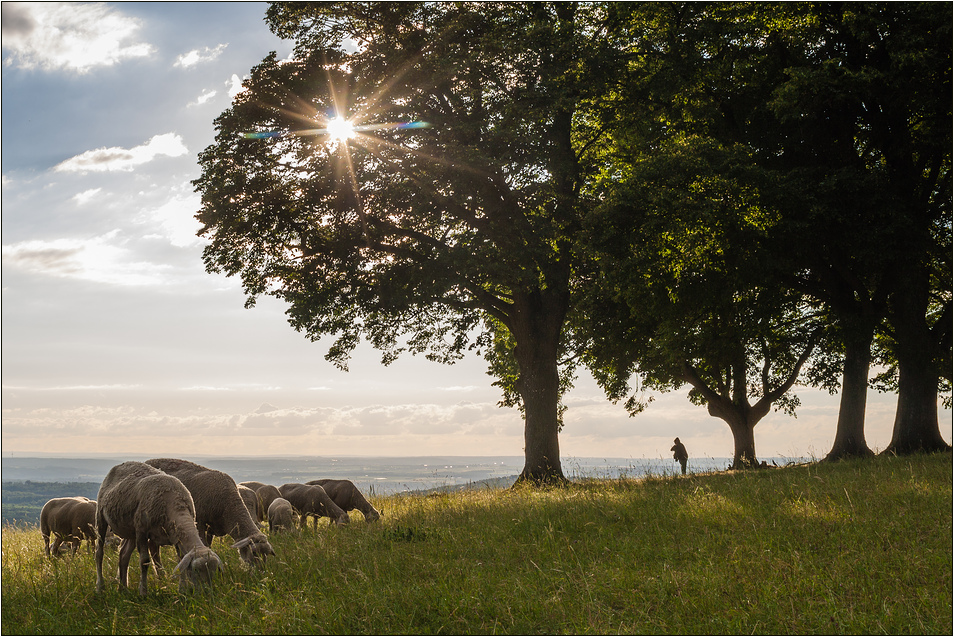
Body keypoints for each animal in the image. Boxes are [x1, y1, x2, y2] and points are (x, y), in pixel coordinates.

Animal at [95, 460, 221, 592]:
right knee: (99, 553)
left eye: (214, 571)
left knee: (124, 555)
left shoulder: (176, 536)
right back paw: (100, 586)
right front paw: (143, 591)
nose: (206, 592)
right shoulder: (141, 531)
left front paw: (182, 590)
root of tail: (121, 464)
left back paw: (123, 588)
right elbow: (144, 561)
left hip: (130, 529)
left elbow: (180, 559)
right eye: (196, 569)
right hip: (101, 517)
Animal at [145, 458, 274, 568]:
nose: (261, 571)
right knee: (153, 548)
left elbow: (209, 544)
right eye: (254, 552)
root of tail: (147, 461)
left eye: (266, 554)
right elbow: (204, 544)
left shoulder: (211, 527)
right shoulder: (200, 522)